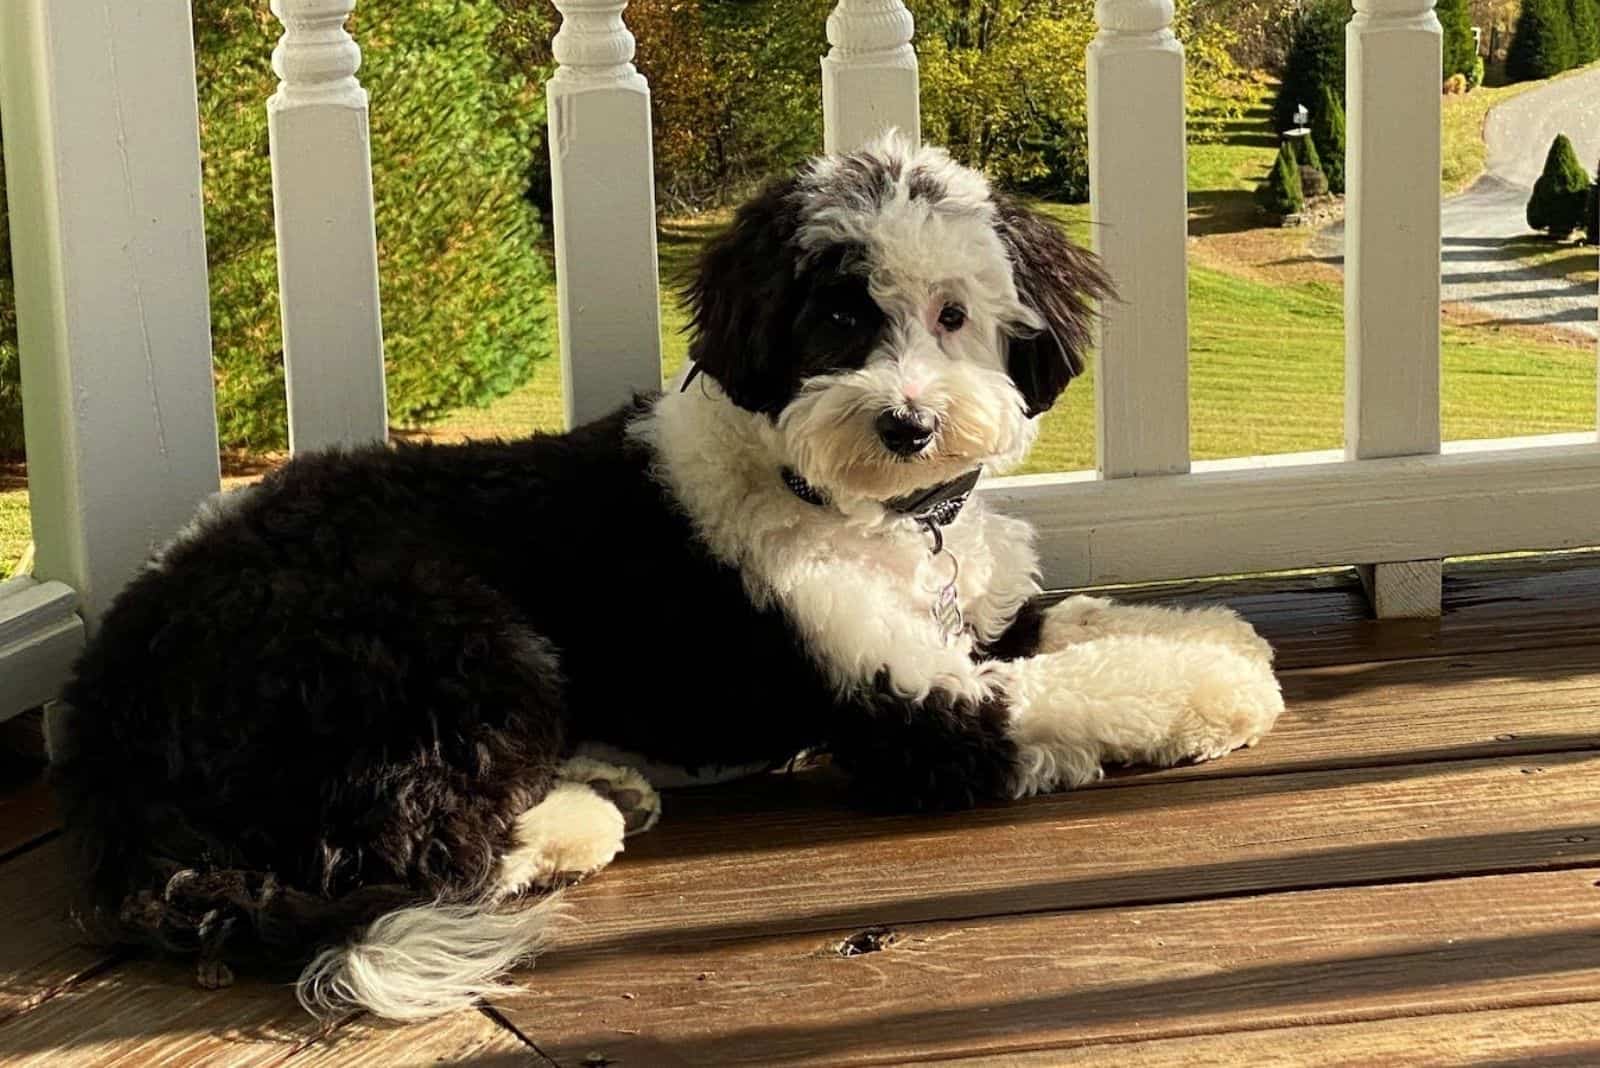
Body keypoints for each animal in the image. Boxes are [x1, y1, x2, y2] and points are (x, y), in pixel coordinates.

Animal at [46, 137, 1273, 1023]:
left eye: (954, 315)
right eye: (837, 316)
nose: (909, 424)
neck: (861, 510)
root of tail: (109, 702)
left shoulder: (974, 623)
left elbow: (1082, 621)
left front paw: (1219, 633)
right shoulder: (919, 705)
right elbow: (1088, 684)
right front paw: (1221, 690)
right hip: (448, 634)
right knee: (412, 849)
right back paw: (578, 811)